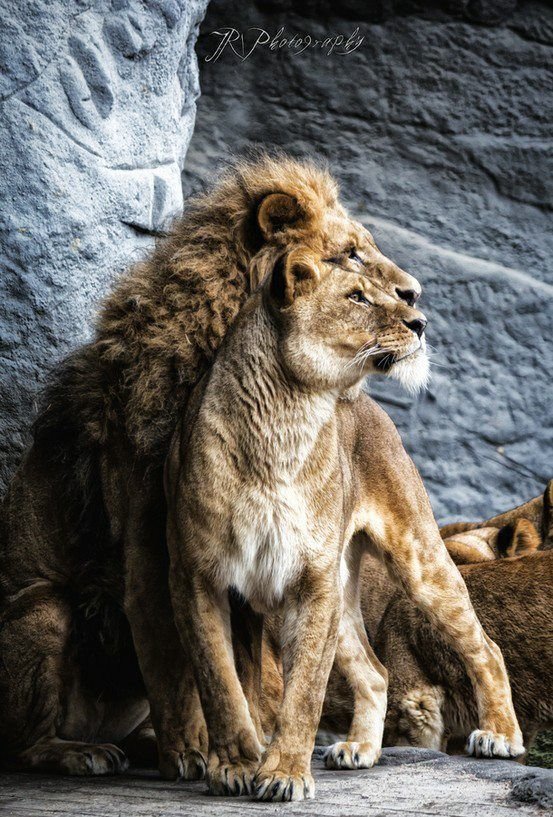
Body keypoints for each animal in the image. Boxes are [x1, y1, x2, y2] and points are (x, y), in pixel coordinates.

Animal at [0, 153, 427, 777]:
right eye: (349, 253)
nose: (416, 301)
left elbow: (239, 671)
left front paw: (251, 751)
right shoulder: (157, 557)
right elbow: (181, 668)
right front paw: (195, 753)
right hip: (45, 608)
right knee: (23, 743)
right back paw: (82, 752)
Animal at [165, 246, 523, 802]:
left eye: (386, 293)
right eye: (356, 297)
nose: (420, 322)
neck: (286, 419)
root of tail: (366, 402)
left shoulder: (312, 581)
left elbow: (304, 691)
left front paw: (284, 775)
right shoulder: (197, 580)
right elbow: (221, 684)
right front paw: (237, 766)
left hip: (417, 558)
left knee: (485, 647)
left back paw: (500, 736)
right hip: (344, 583)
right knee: (375, 673)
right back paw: (360, 750)